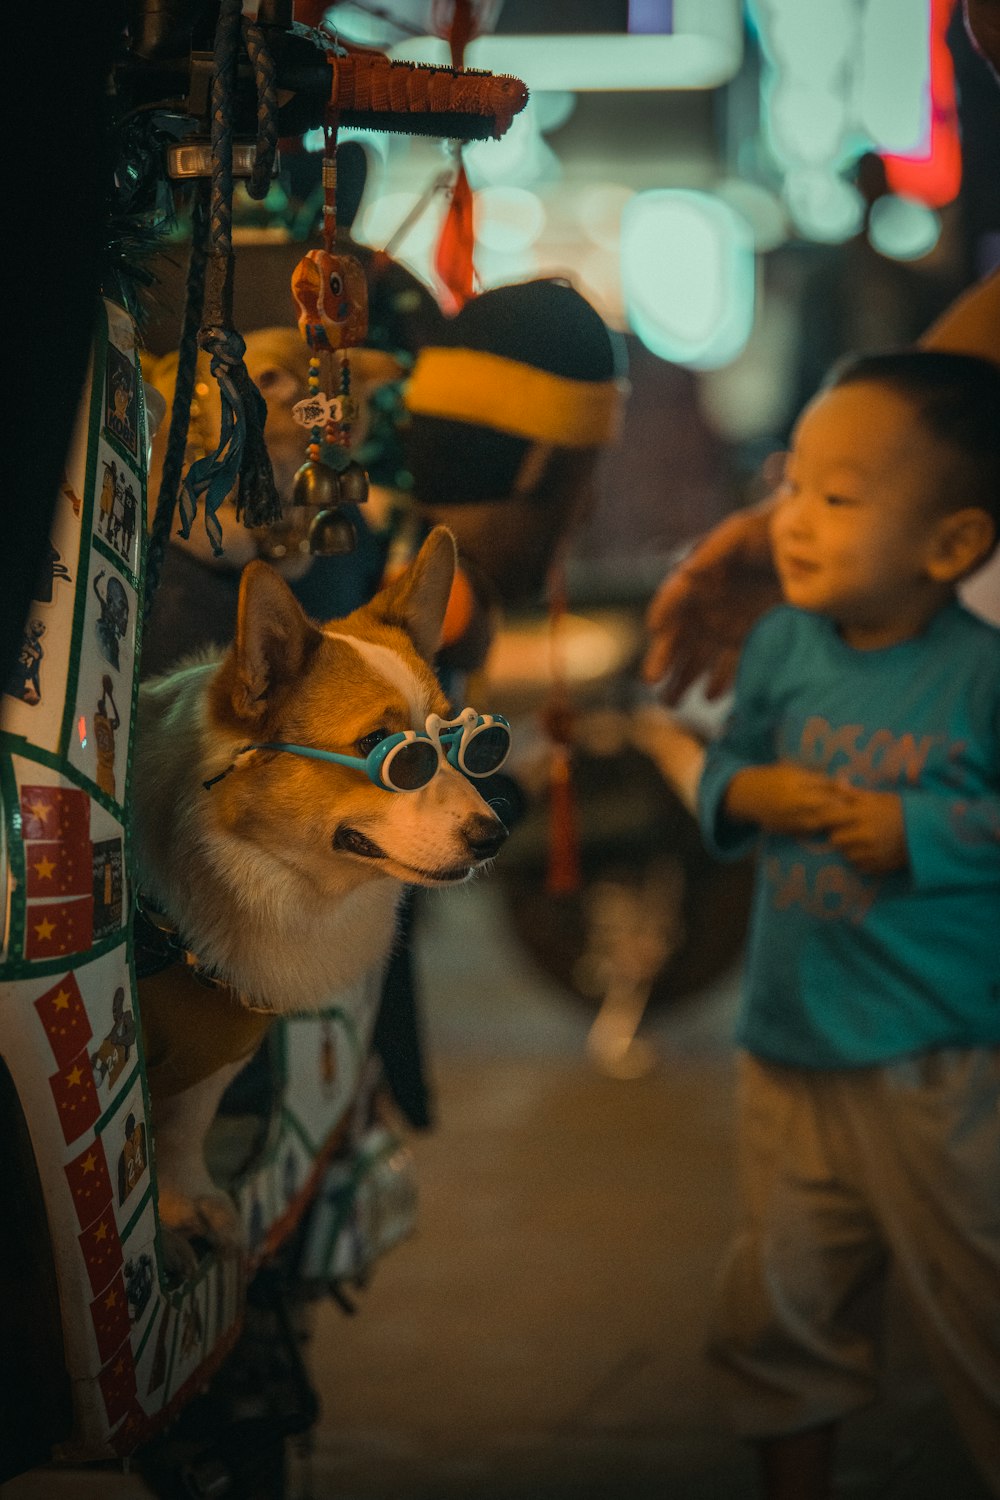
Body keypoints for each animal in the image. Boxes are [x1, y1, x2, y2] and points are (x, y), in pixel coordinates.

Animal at [132, 534, 509, 1248]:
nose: (494, 837)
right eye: (387, 750)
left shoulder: (218, 1047)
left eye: (468, 743)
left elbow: (183, 1126)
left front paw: (188, 1200)